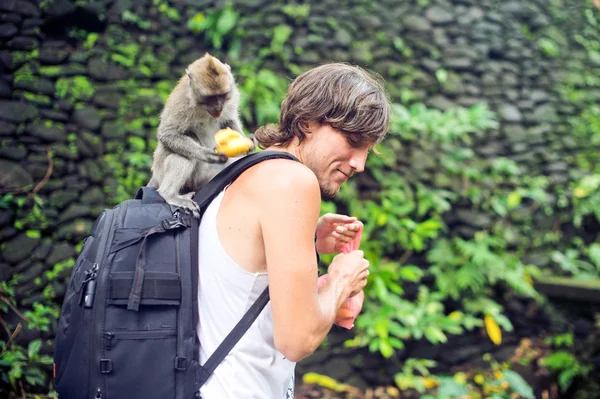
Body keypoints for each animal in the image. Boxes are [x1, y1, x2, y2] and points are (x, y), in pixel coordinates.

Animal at [148, 53, 251, 217]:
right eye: (210, 98)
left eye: (222, 95)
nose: (218, 107)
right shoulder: (182, 102)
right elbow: (167, 134)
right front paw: (206, 154)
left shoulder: (232, 97)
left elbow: (228, 120)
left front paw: (247, 143)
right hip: (167, 174)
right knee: (185, 149)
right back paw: (169, 194)